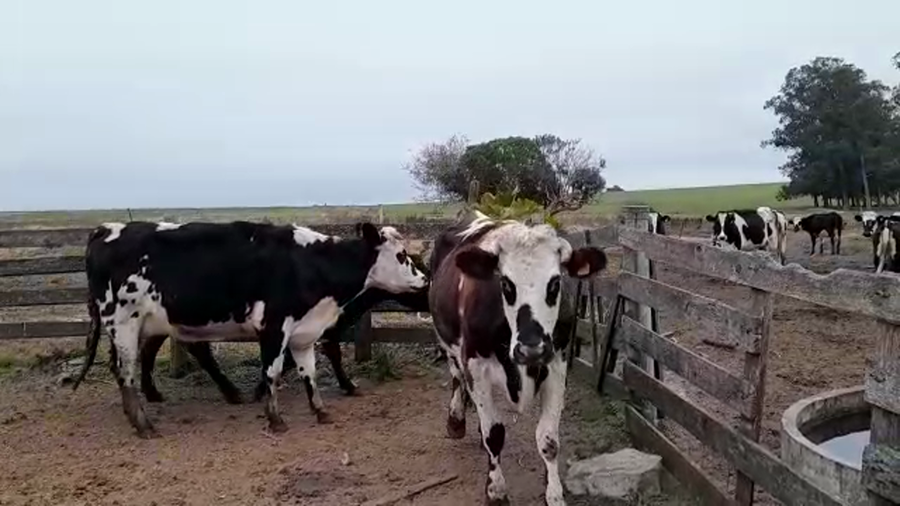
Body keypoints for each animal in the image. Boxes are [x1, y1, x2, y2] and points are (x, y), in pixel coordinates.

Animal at [72, 220, 427, 438]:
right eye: (402, 256)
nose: (425, 280)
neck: (307, 263)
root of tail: (105, 229)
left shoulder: (303, 333)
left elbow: (309, 373)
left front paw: (320, 411)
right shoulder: (274, 328)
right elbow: (272, 372)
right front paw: (275, 418)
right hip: (124, 324)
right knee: (125, 372)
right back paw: (144, 424)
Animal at [428, 212, 607, 505]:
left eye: (555, 283)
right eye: (505, 283)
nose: (531, 349)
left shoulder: (557, 364)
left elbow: (548, 439)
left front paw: (554, 493)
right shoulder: (475, 366)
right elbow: (494, 434)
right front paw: (495, 490)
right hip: (448, 344)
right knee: (456, 378)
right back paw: (456, 420)